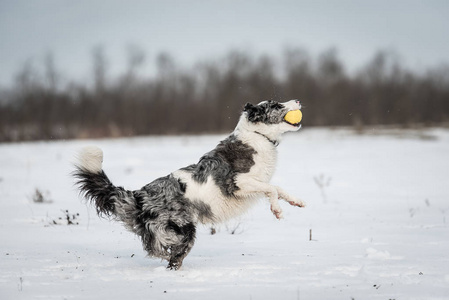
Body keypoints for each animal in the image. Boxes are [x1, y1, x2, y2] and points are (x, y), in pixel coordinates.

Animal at [73, 99, 304, 270]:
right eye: (276, 105)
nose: (298, 100)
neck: (258, 136)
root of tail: (139, 196)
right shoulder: (237, 183)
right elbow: (272, 189)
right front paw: (277, 210)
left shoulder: (257, 182)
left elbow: (278, 189)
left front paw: (296, 201)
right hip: (183, 229)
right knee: (168, 254)